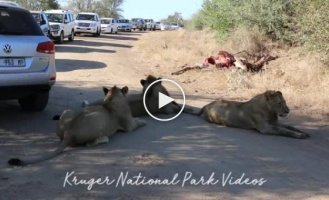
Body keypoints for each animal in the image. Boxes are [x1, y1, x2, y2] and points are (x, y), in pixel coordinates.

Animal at [8, 86, 145, 166]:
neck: (111, 99)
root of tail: (68, 133)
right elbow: (138, 122)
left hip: (68, 111)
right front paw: (143, 121)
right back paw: (103, 138)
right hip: (98, 120)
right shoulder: (129, 125)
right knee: (89, 143)